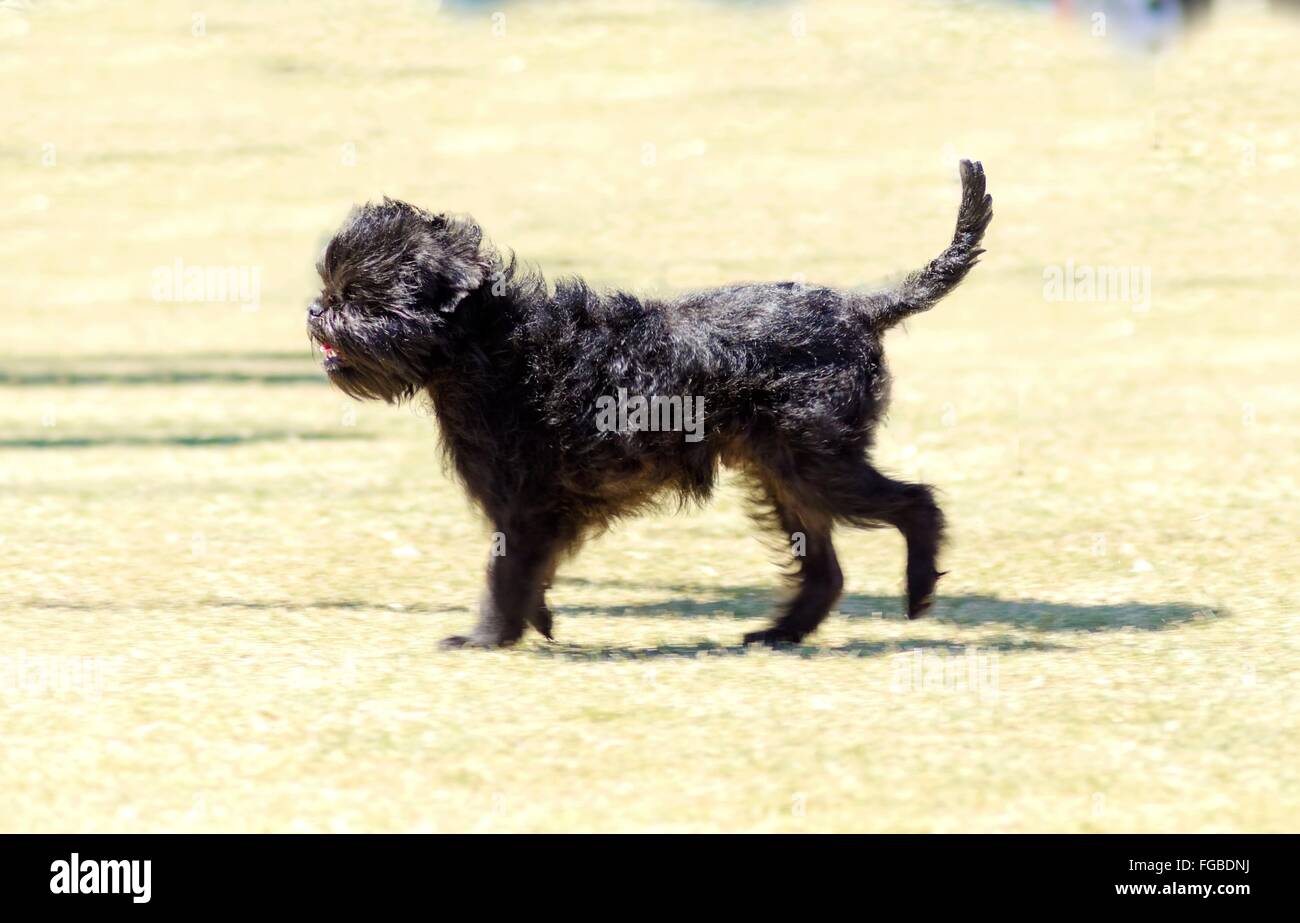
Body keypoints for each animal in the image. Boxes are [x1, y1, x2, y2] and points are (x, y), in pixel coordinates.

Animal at [309, 161, 987, 650]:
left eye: (364, 300)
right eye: (330, 289)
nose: (318, 309)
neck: (492, 344)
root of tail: (859, 309)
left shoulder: (527, 501)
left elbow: (507, 572)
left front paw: (486, 637)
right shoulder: (533, 509)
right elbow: (527, 570)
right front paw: (535, 622)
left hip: (816, 461)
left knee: (916, 503)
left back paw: (917, 592)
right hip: (784, 470)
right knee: (826, 570)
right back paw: (780, 633)